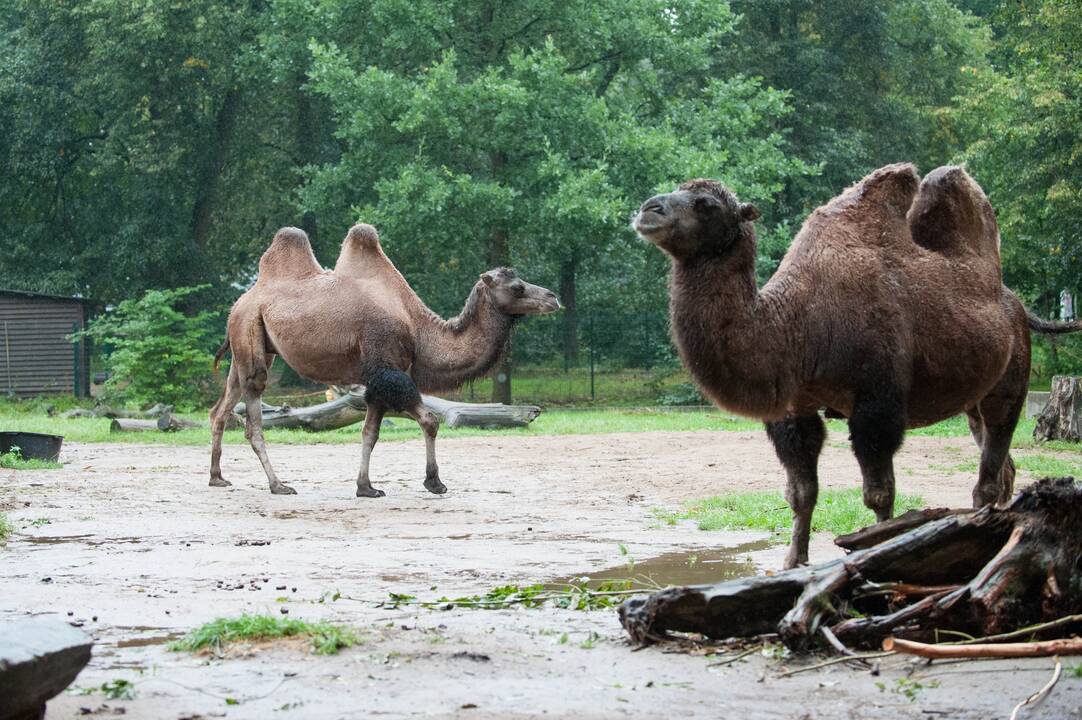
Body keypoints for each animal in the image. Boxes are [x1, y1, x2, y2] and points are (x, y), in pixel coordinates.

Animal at [208, 223, 558, 493]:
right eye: (517, 287)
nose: (553, 297)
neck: (417, 329)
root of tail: (240, 302)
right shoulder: (387, 368)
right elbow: (429, 421)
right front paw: (434, 482)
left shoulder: (378, 376)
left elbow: (370, 434)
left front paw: (366, 487)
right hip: (250, 333)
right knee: (253, 412)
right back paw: (278, 485)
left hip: (251, 345)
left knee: (221, 408)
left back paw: (217, 478)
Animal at [631, 164, 1082, 567]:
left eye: (706, 204)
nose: (649, 209)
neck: (796, 323)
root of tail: (1016, 307)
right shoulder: (795, 406)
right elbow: (801, 492)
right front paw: (793, 561)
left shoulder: (876, 401)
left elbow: (879, 493)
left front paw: (878, 548)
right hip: (972, 399)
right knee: (1001, 462)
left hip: (1009, 383)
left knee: (990, 465)